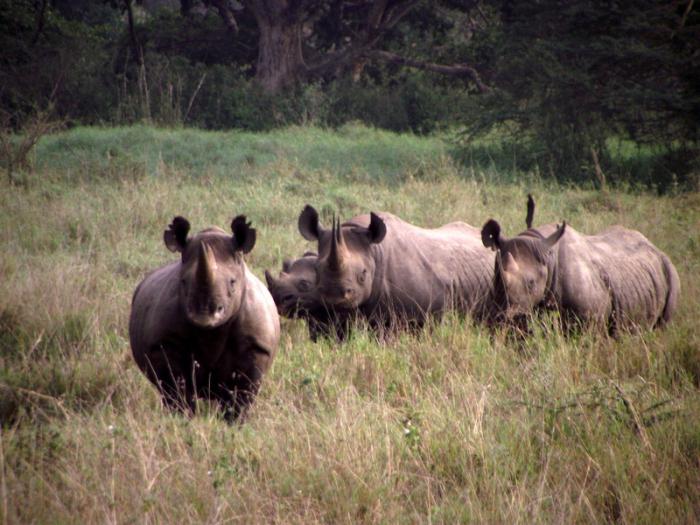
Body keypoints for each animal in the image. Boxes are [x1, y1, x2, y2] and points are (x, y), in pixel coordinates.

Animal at [129, 215, 278, 420]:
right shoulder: (164, 342)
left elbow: (241, 395)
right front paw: (182, 419)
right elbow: (176, 389)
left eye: (233, 282)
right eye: (183, 281)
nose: (204, 315)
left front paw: (235, 422)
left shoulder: (256, 345)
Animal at [482, 214, 680, 332]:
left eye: (531, 283)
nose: (501, 318)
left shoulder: (591, 321)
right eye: (495, 280)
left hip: (670, 271)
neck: (549, 257)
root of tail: (656, 249)